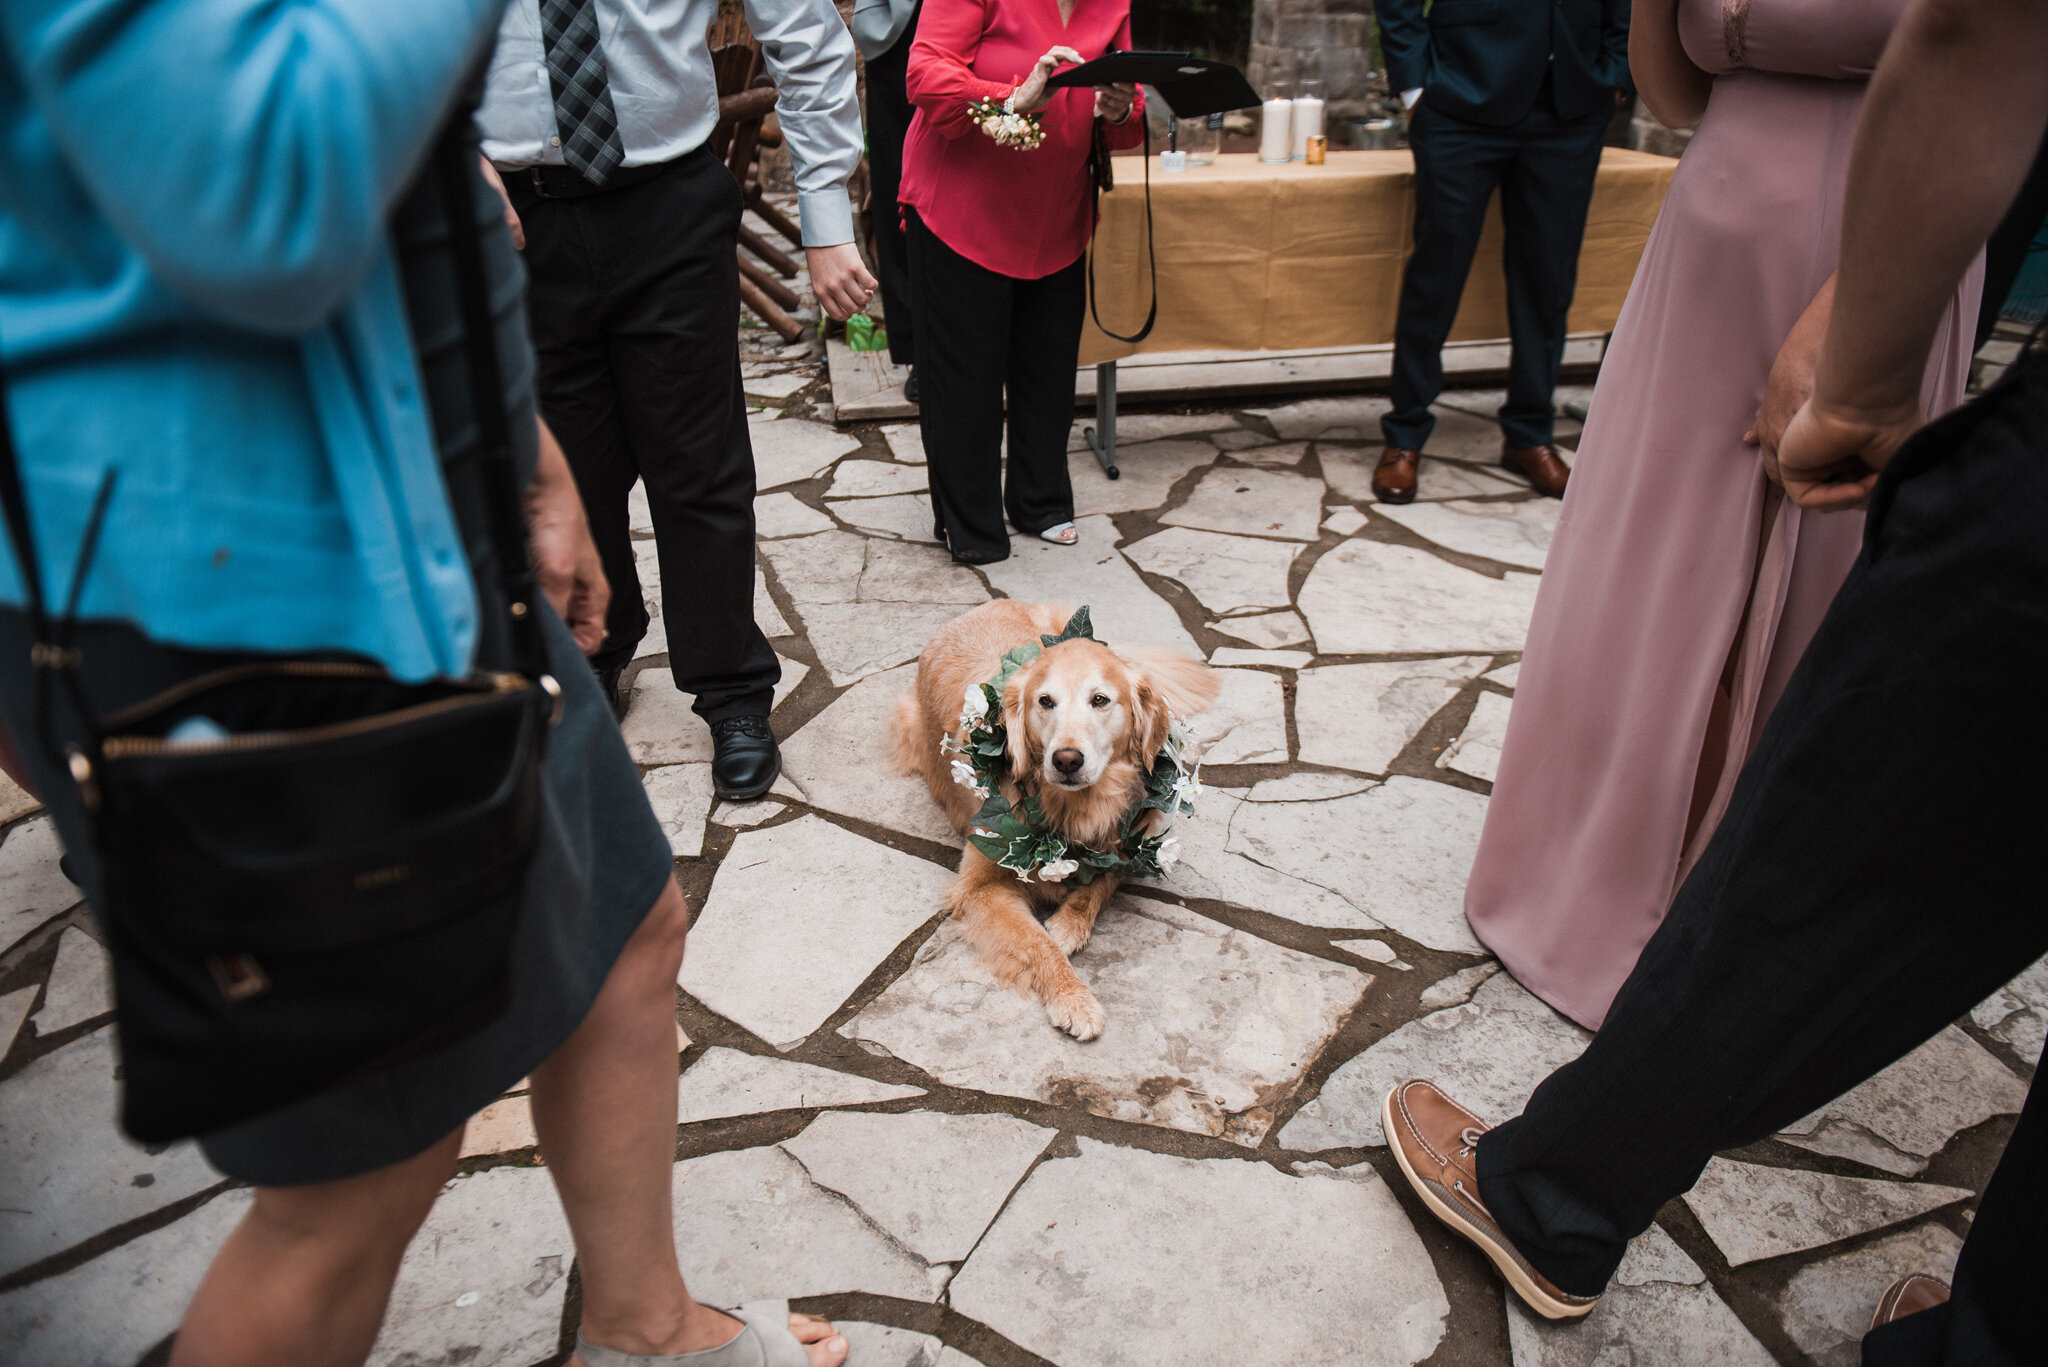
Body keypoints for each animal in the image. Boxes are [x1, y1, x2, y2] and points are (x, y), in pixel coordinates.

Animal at [897, 602, 1212, 1041]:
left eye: (1100, 699)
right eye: (1045, 701)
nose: (1066, 760)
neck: (1075, 809)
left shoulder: (1132, 840)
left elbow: (1101, 881)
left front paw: (1068, 924)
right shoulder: (980, 887)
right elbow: (1037, 944)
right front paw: (1073, 998)